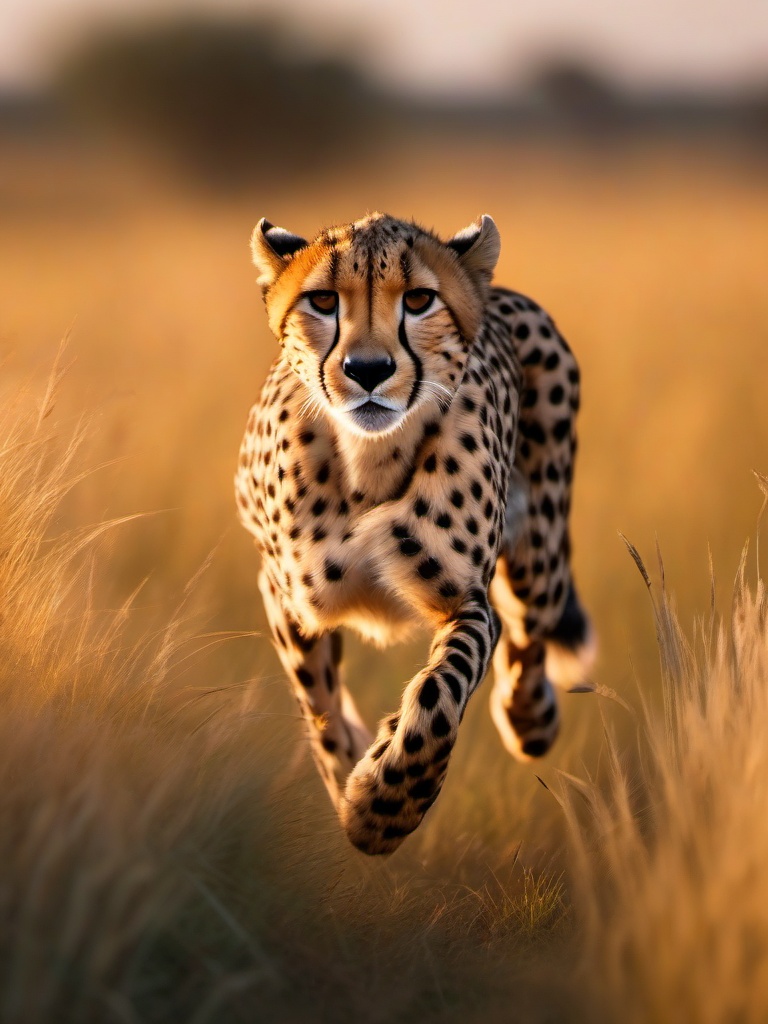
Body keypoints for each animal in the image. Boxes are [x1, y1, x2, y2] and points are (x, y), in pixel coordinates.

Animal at [234, 214, 593, 856]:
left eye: (420, 300)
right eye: (322, 301)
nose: (368, 371)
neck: (369, 461)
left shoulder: (465, 601)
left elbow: (440, 695)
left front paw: (382, 810)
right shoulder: (285, 595)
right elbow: (318, 702)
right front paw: (351, 767)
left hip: (539, 559)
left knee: (530, 636)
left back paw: (530, 718)